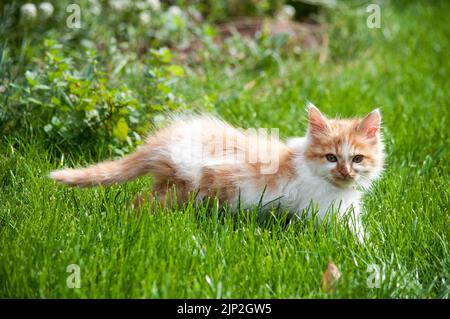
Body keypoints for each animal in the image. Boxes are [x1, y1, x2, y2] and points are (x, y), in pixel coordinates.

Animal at [51, 105, 384, 242]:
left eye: (357, 158)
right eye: (331, 157)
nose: (346, 172)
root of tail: (161, 141)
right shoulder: (326, 211)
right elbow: (356, 236)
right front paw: (372, 255)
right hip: (184, 189)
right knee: (140, 202)